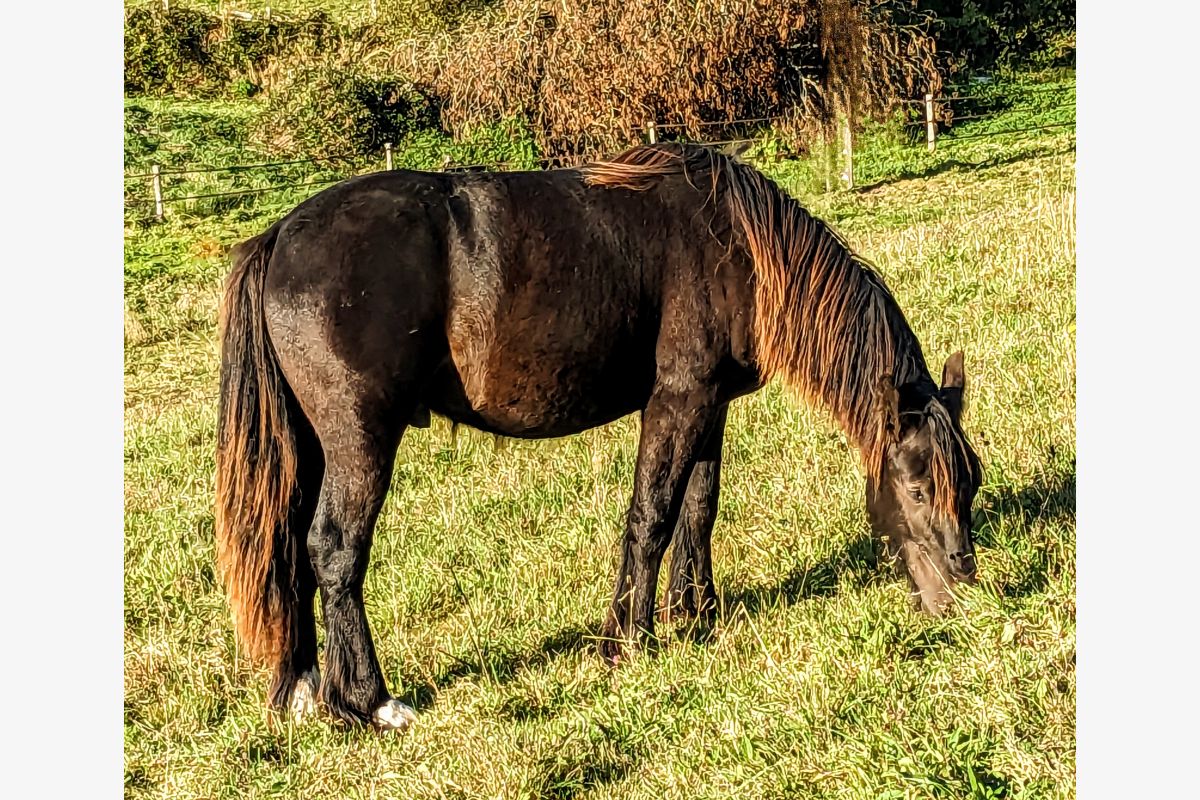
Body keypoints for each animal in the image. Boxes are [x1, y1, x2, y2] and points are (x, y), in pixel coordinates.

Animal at [218, 139, 984, 734]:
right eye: (919, 487)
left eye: (971, 483)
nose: (962, 595)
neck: (737, 243)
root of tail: (280, 235)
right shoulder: (677, 401)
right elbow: (652, 517)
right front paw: (630, 639)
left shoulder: (710, 406)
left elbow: (698, 512)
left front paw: (696, 616)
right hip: (360, 440)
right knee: (334, 551)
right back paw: (371, 702)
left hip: (309, 448)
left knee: (289, 546)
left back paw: (304, 690)